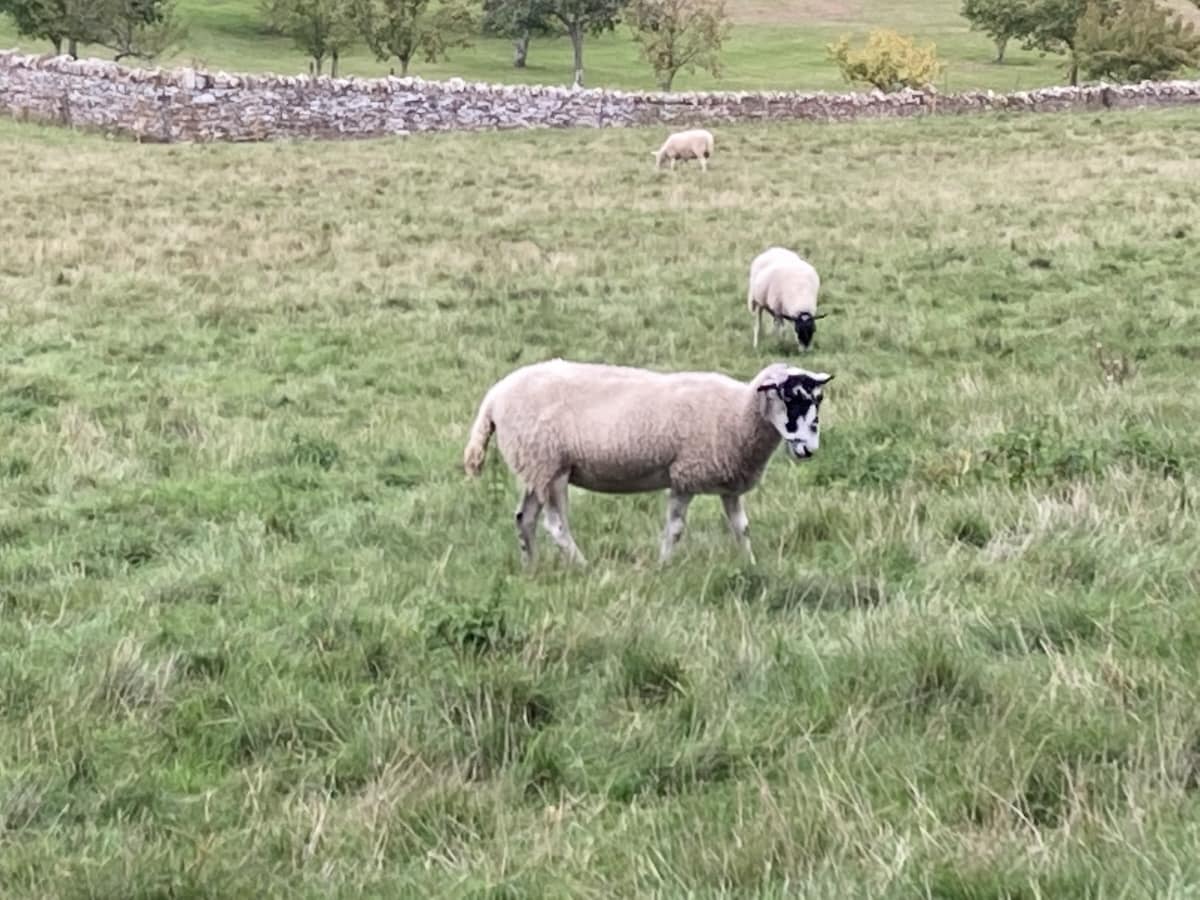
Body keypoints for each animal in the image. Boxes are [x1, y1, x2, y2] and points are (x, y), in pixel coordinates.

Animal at [460, 357, 835, 564]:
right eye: (790, 397)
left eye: (817, 400)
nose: (809, 448)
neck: (738, 412)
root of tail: (494, 397)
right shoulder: (684, 474)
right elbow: (675, 529)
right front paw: (664, 566)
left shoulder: (728, 483)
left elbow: (741, 528)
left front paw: (751, 564)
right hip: (550, 466)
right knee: (556, 526)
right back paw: (582, 566)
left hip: (535, 467)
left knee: (524, 519)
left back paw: (531, 567)